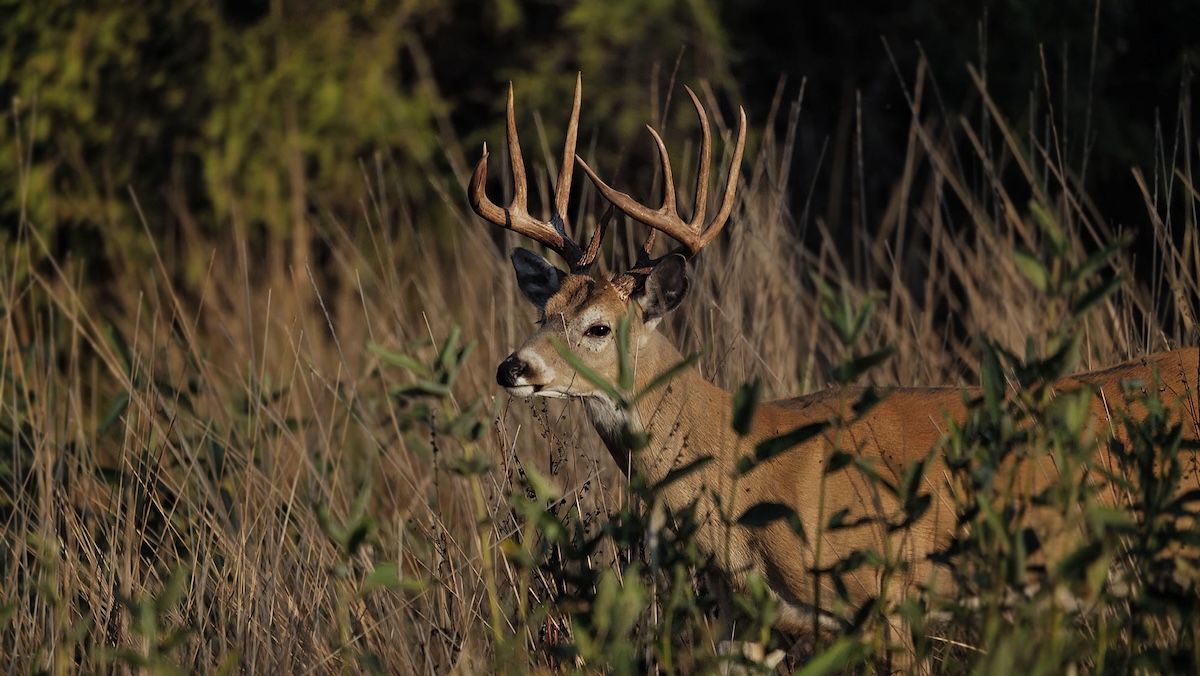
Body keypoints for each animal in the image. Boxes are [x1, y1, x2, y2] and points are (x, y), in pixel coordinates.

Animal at [467, 75, 1200, 667]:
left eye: (598, 327)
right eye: (543, 311)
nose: (511, 366)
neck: (741, 477)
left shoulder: (885, 593)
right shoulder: (743, 620)